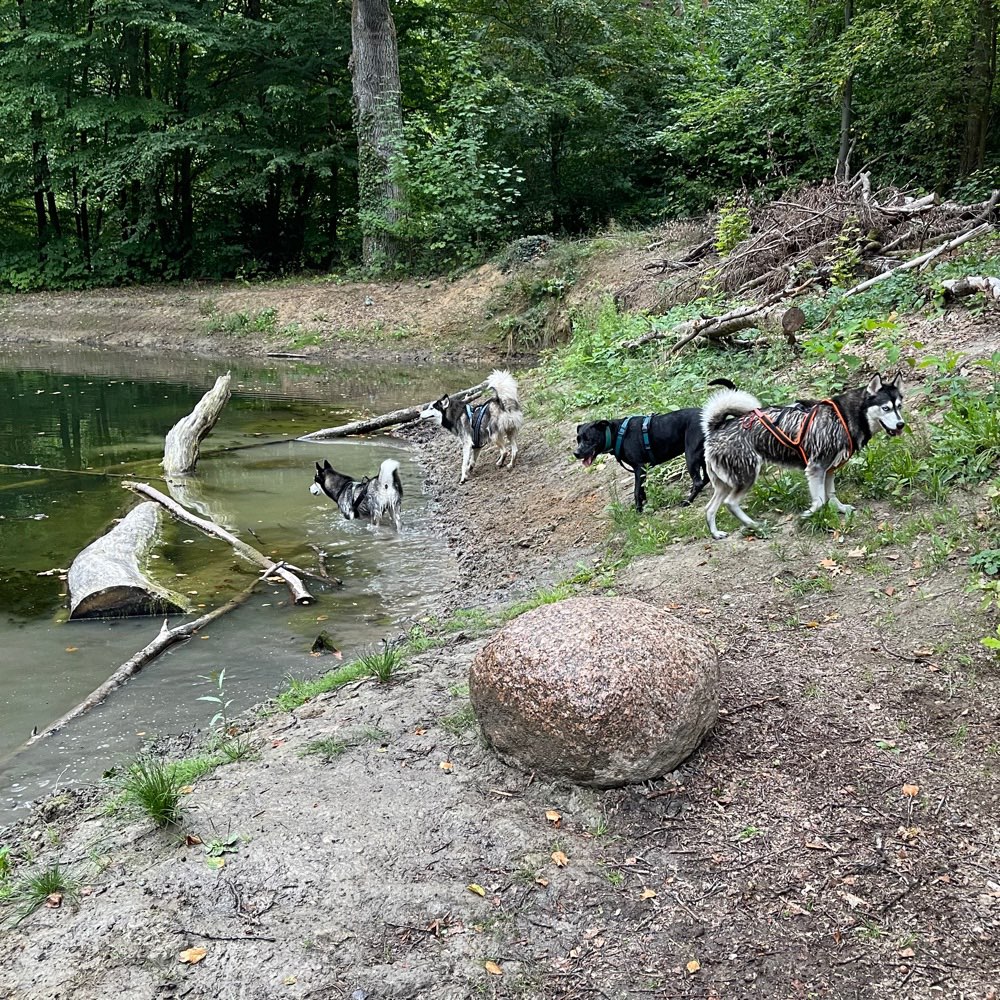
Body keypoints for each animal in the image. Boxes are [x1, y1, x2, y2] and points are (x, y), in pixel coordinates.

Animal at [576, 376, 740, 512]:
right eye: (578, 439)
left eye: (588, 439)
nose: (576, 453)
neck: (617, 433)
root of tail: (710, 418)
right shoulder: (640, 470)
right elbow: (641, 490)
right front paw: (643, 504)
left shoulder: (639, 467)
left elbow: (636, 491)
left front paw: (638, 510)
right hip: (702, 457)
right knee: (706, 478)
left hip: (691, 456)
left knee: (699, 481)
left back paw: (687, 501)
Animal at [704, 372, 908, 540]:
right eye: (886, 408)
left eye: (899, 406)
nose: (901, 424)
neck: (843, 416)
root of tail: (715, 430)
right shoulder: (816, 469)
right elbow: (820, 501)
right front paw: (807, 515)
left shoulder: (829, 470)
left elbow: (831, 495)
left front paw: (840, 509)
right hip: (747, 477)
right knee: (731, 503)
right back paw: (754, 525)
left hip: (725, 484)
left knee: (709, 509)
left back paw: (716, 533)